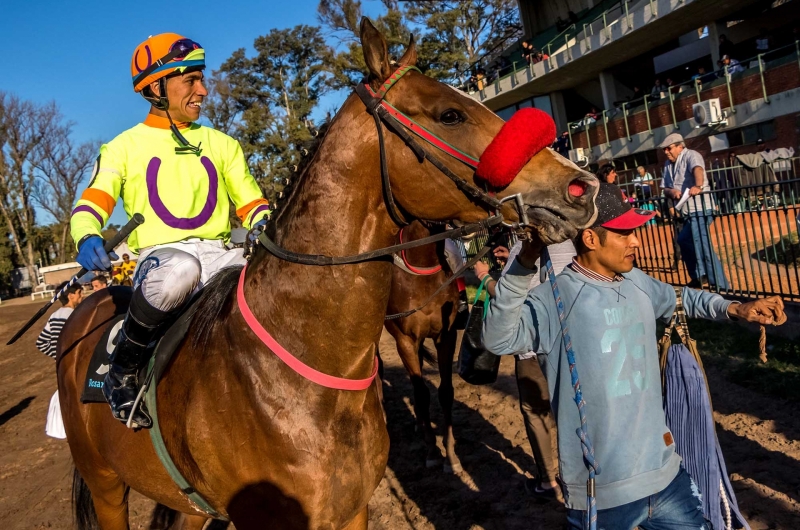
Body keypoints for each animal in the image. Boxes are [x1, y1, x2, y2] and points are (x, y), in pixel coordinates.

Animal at [56, 18, 596, 528]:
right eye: (450, 114)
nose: (581, 187)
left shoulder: (352, 509)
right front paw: (91, 248)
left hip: (190, 505)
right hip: (105, 484)